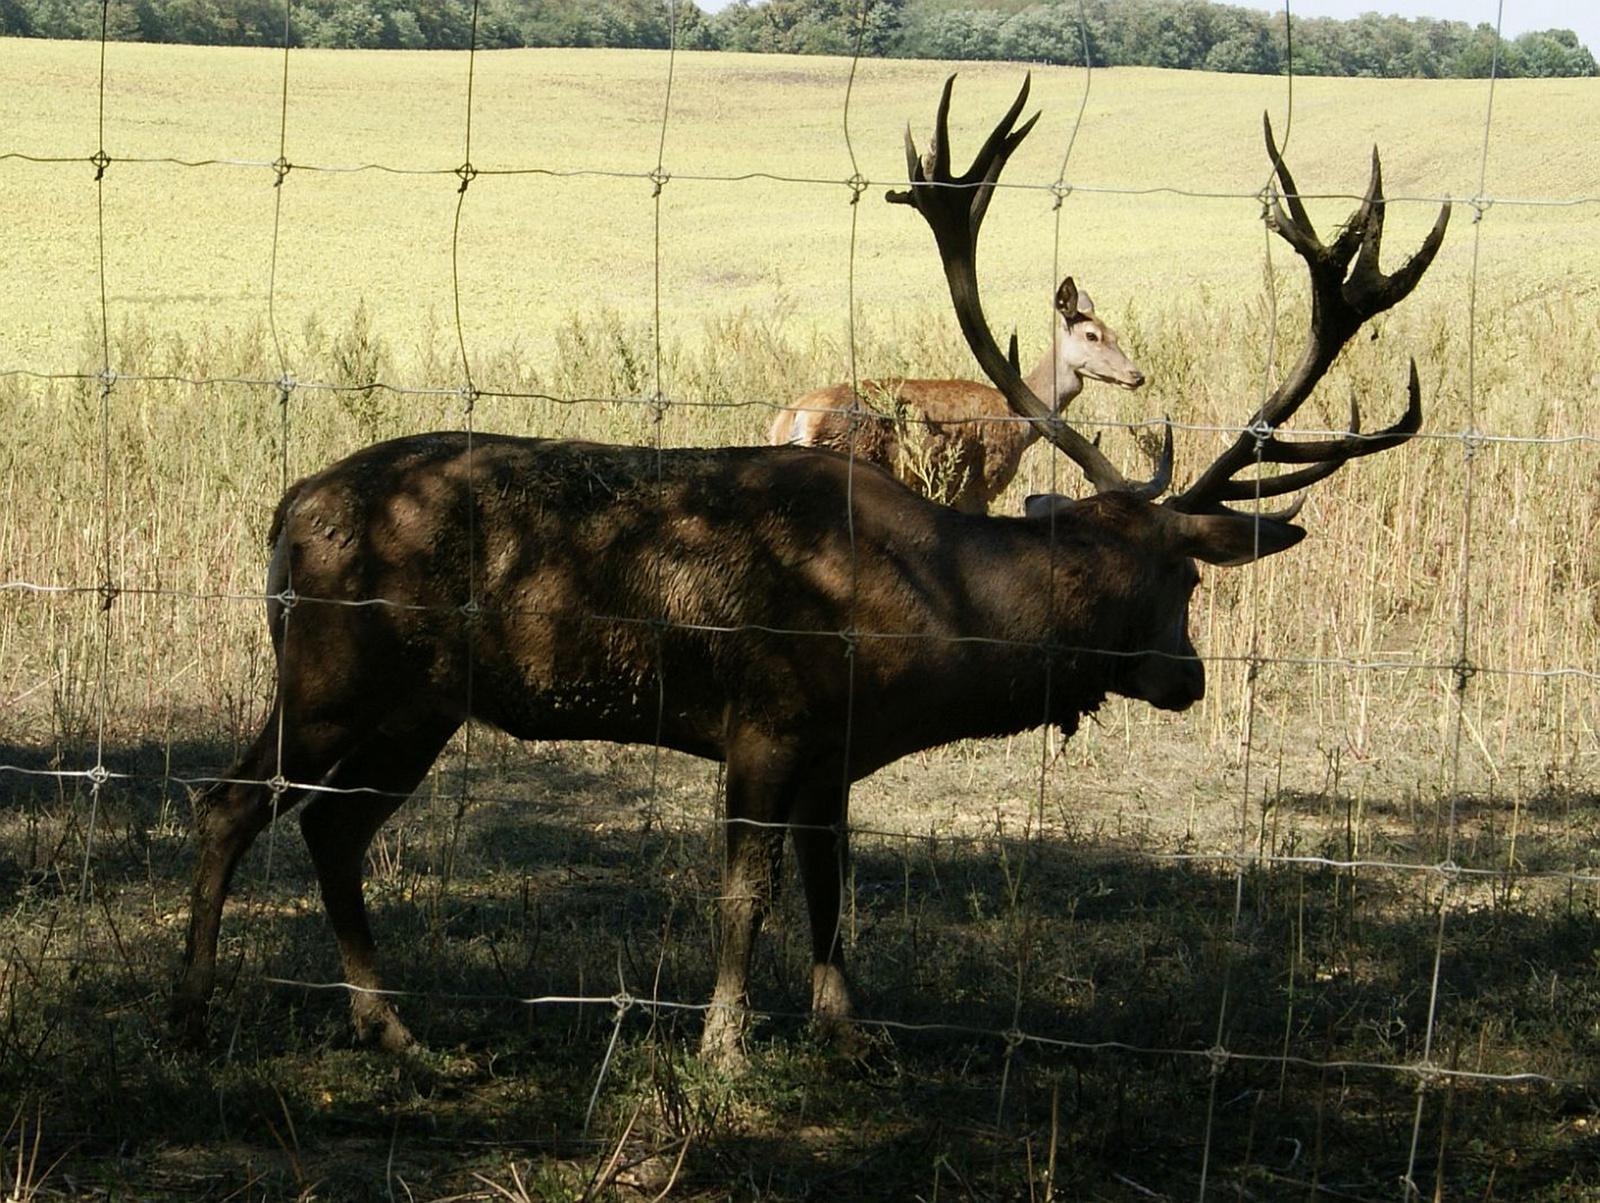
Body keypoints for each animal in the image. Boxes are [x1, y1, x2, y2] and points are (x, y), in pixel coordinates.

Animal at [768, 276, 1145, 511]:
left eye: (1115, 334)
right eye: (1092, 335)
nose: (1136, 375)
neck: (1020, 421)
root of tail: (794, 417)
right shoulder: (980, 484)